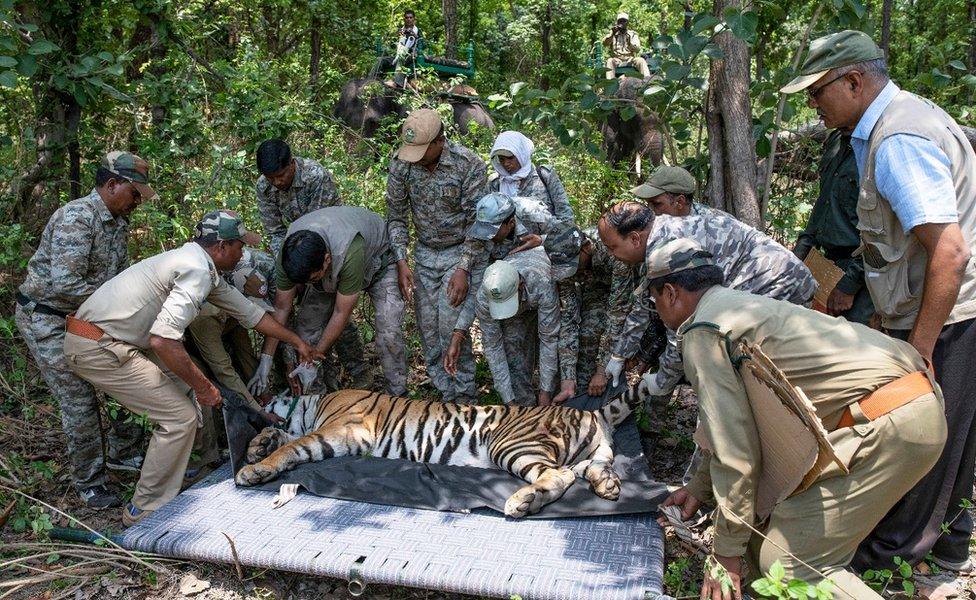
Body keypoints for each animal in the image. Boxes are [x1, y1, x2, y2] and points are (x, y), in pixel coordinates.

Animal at [234, 386, 648, 516]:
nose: (258, 400)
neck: (314, 402)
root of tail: (588, 410)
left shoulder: (339, 431)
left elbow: (294, 445)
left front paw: (253, 468)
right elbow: (282, 436)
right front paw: (256, 446)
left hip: (512, 443)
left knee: (557, 475)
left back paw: (523, 501)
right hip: (591, 455)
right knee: (592, 470)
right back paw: (607, 486)